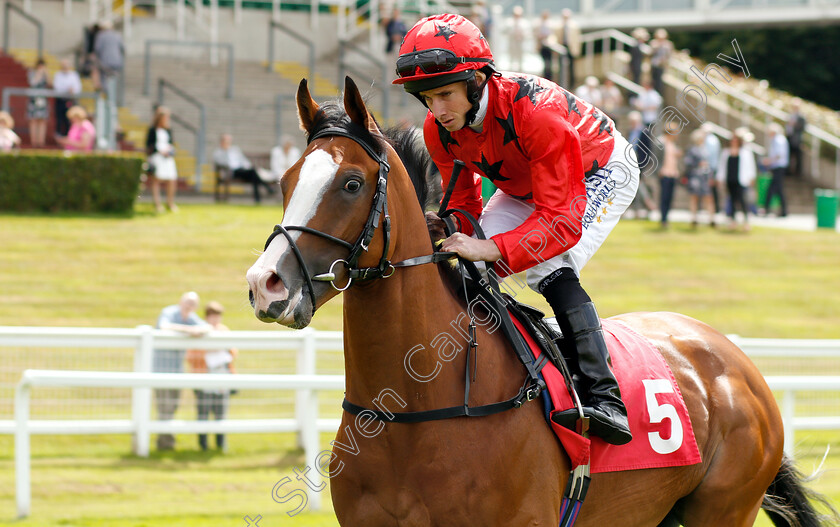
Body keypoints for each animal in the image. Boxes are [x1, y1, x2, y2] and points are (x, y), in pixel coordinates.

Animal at [244, 78, 832, 527]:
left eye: (350, 183)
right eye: (286, 180)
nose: (265, 283)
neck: (414, 406)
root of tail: (737, 362)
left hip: (724, 508)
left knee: (558, 271)